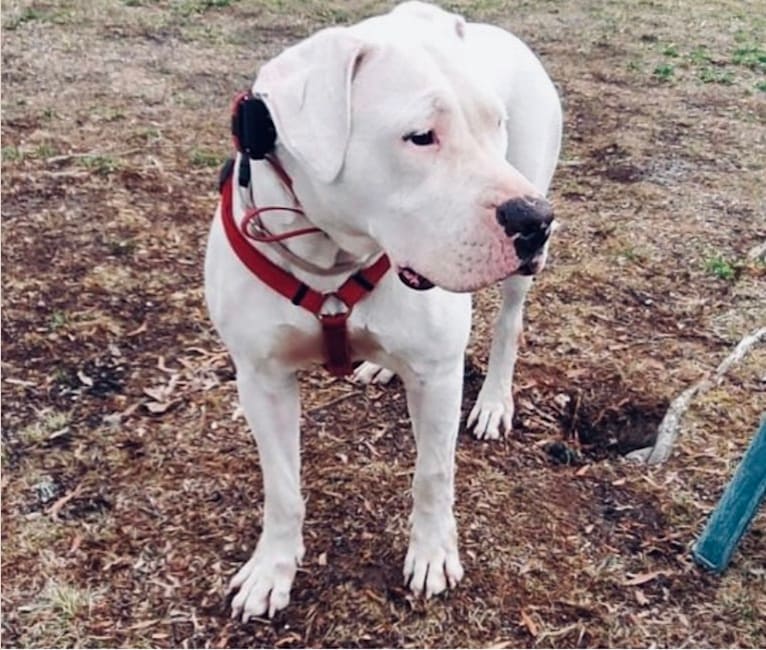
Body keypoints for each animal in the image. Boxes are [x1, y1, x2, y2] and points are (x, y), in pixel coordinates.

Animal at [207, 0, 560, 616]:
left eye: (495, 123)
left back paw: (494, 402)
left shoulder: (439, 375)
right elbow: (282, 486)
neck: (333, 253)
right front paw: (273, 569)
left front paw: (433, 554)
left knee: (507, 328)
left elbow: (433, 473)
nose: (536, 220)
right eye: (420, 137)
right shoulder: (261, 380)